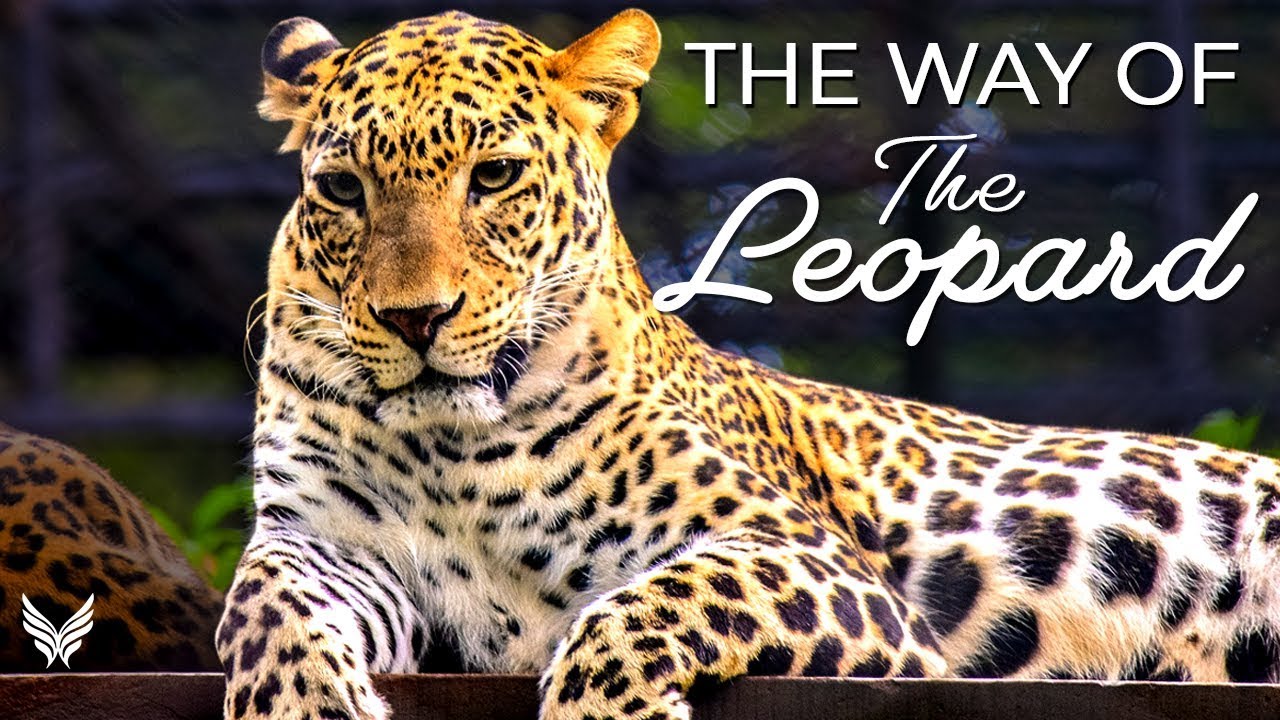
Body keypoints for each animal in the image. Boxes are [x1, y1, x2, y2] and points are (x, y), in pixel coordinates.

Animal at [221, 8, 1280, 720]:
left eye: (494, 177)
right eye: (341, 189)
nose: (414, 319)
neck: (453, 444)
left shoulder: (818, 565)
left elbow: (642, 606)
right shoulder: (323, 536)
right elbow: (260, 604)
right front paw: (300, 705)